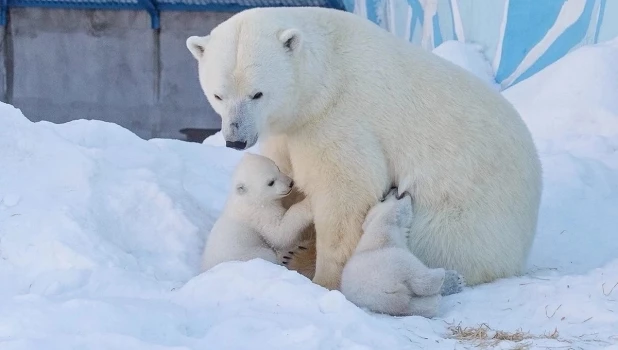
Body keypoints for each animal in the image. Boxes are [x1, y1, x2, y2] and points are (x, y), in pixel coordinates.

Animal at [186, 6, 540, 290]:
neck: (324, 77)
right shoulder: (289, 127)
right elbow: (285, 172)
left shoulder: (340, 117)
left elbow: (345, 192)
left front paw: (324, 279)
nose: (235, 139)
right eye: (218, 94)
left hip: (466, 219)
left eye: (257, 93)